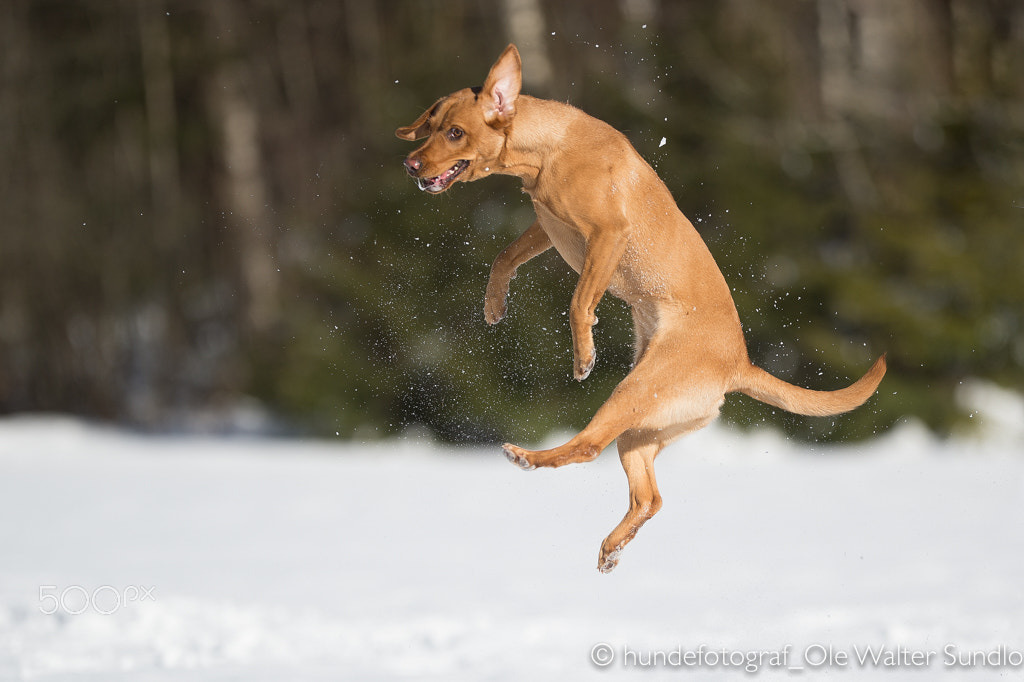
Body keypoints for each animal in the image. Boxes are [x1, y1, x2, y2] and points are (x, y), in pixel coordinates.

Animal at [395, 45, 884, 569]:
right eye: (431, 125)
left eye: (455, 132)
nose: (410, 164)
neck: (547, 152)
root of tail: (740, 364)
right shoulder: (548, 226)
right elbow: (504, 256)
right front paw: (493, 305)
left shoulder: (607, 234)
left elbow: (578, 300)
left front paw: (583, 355)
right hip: (643, 425)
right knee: (650, 496)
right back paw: (612, 546)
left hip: (631, 393)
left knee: (589, 446)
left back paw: (530, 457)